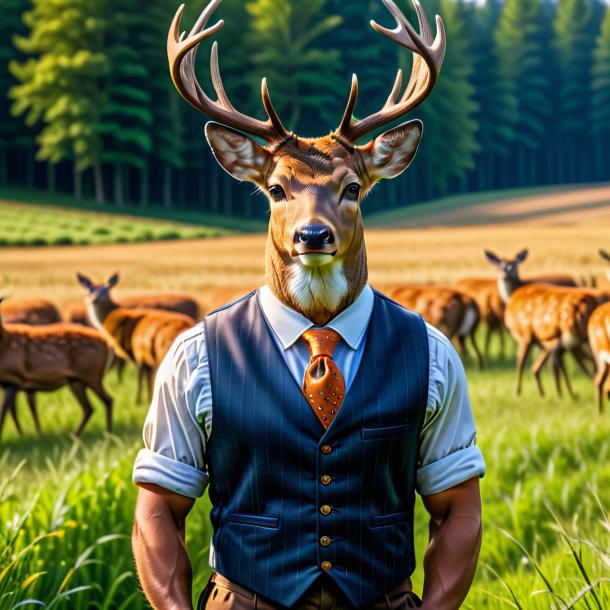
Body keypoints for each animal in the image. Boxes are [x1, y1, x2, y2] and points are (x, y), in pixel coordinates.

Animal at [0, 294, 113, 436]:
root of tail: (107, 344)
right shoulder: (11, 384)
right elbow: (14, 411)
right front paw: (27, 434)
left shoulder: (15, 377)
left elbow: (6, 412)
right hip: (76, 380)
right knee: (89, 408)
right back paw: (77, 434)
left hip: (92, 375)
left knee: (107, 400)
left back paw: (107, 433)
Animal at [76, 274, 194, 402]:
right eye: (89, 290)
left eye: (105, 290)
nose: (93, 299)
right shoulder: (145, 358)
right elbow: (148, 379)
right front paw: (148, 398)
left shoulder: (138, 353)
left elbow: (140, 378)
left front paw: (138, 400)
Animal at [484, 249, 600, 396]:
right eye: (498, 266)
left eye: (514, 266)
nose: (504, 273)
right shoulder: (542, 339)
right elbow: (542, 361)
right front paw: (543, 389)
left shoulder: (527, 334)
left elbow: (521, 359)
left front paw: (518, 391)